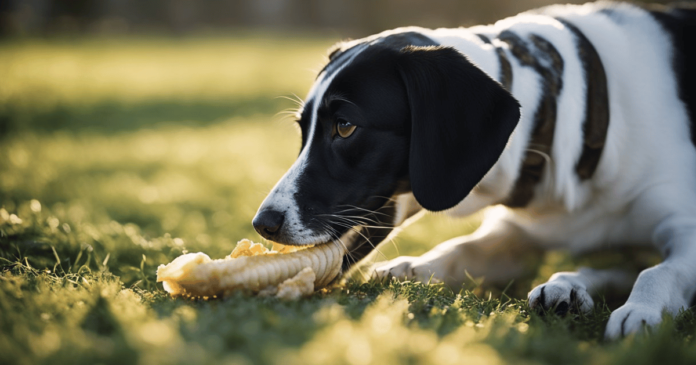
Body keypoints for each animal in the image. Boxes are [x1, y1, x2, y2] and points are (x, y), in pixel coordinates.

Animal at [253, 2, 692, 338]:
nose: (263, 224)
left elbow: (658, 272)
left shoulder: (682, 230)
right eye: (303, 129)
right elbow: (462, 248)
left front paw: (642, 310)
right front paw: (414, 267)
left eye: (345, 127)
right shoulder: (517, 233)